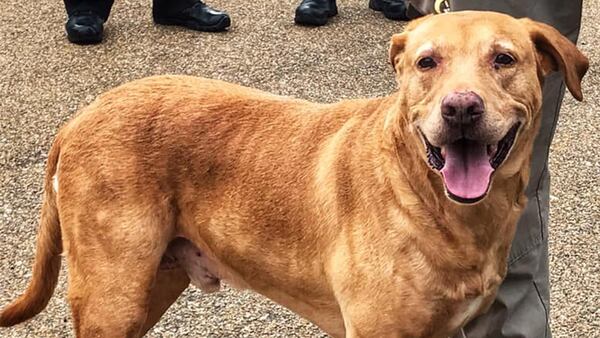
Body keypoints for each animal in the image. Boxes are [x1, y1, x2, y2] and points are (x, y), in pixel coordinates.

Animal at [0, 10, 588, 338]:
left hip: (148, 285)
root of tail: (81, 115)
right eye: (428, 63)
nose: (461, 109)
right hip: (113, 296)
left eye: (504, 59)